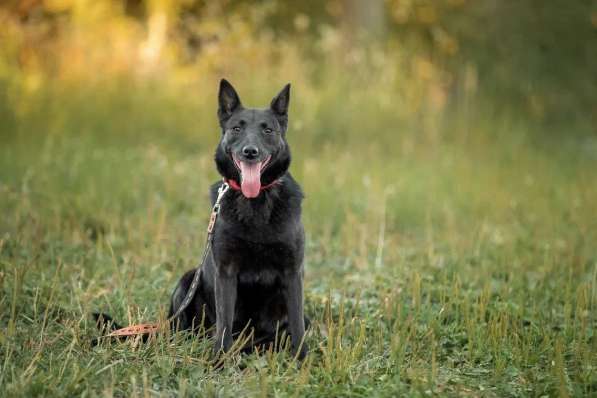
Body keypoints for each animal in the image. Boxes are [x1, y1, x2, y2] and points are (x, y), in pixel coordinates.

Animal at [168, 79, 308, 360]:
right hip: (187, 280)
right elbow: (224, 322)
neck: (255, 202)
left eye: (268, 130)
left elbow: (297, 323)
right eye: (236, 128)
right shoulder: (226, 271)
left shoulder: (292, 272)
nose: (250, 152)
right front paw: (220, 360)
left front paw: (302, 359)